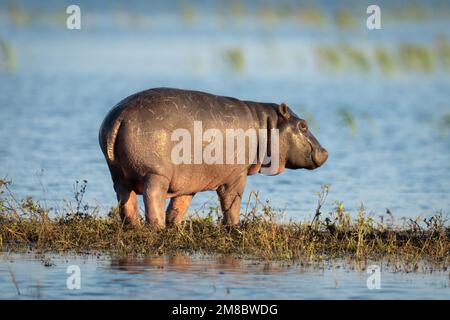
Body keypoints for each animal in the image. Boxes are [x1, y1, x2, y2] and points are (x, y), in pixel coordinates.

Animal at [99, 87, 326, 228]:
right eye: (303, 125)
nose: (325, 152)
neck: (265, 123)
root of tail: (120, 116)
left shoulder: (189, 179)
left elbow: (180, 204)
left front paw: (175, 225)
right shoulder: (236, 174)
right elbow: (232, 201)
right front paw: (235, 226)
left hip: (118, 175)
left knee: (125, 200)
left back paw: (134, 226)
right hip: (155, 174)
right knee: (152, 197)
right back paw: (157, 227)